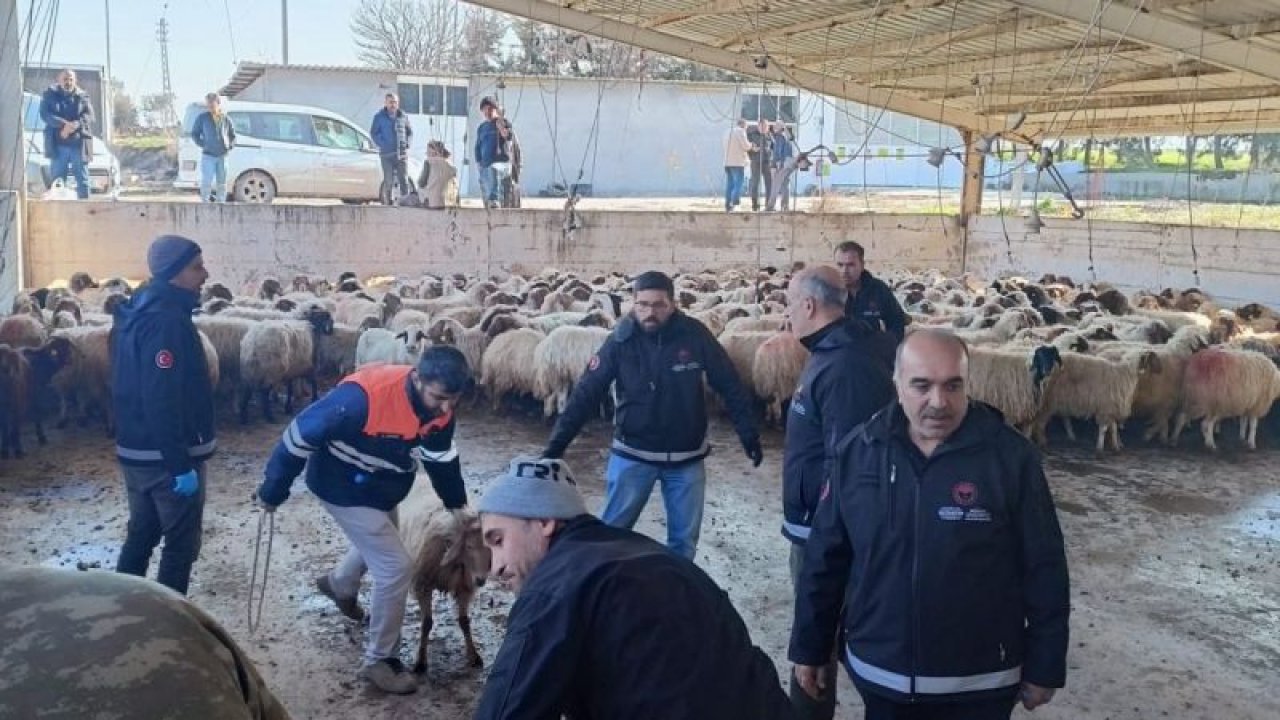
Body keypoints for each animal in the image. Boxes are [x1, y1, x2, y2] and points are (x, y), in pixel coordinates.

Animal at [396, 476, 491, 671]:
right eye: (469, 546)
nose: (480, 580)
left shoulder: (464, 586)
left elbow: (464, 621)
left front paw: (473, 655)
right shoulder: (423, 584)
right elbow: (426, 623)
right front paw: (421, 660)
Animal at [1029, 345, 1162, 448]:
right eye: (1153, 358)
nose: (1161, 370)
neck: (1125, 374)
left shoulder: (1110, 407)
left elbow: (1113, 428)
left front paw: (1116, 446)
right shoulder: (1106, 407)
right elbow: (1104, 429)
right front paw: (1100, 447)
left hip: (1060, 400)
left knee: (1063, 419)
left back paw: (1071, 436)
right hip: (1048, 401)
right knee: (1040, 422)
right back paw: (1042, 441)